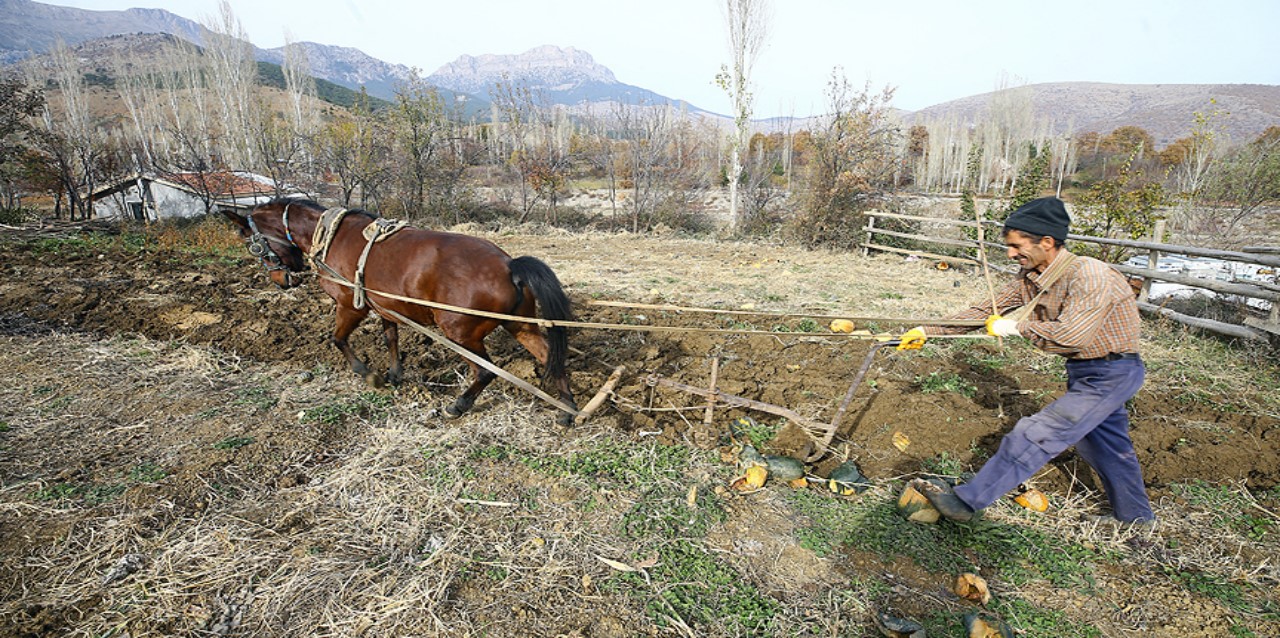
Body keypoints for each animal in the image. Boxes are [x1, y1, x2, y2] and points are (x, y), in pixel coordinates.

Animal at [224, 197, 576, 425]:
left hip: (461, 333)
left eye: (251, 244)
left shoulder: (349, 306)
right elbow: (390, 339)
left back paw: (459, 405)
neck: (331, 238)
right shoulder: (386, 308)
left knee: (485, 371)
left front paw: (368, 374)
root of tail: (509, 264)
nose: (282, 281)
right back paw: (567, 410)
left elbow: (337, 339)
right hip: (520, 325)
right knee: (551, 357)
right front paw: (394, 375)